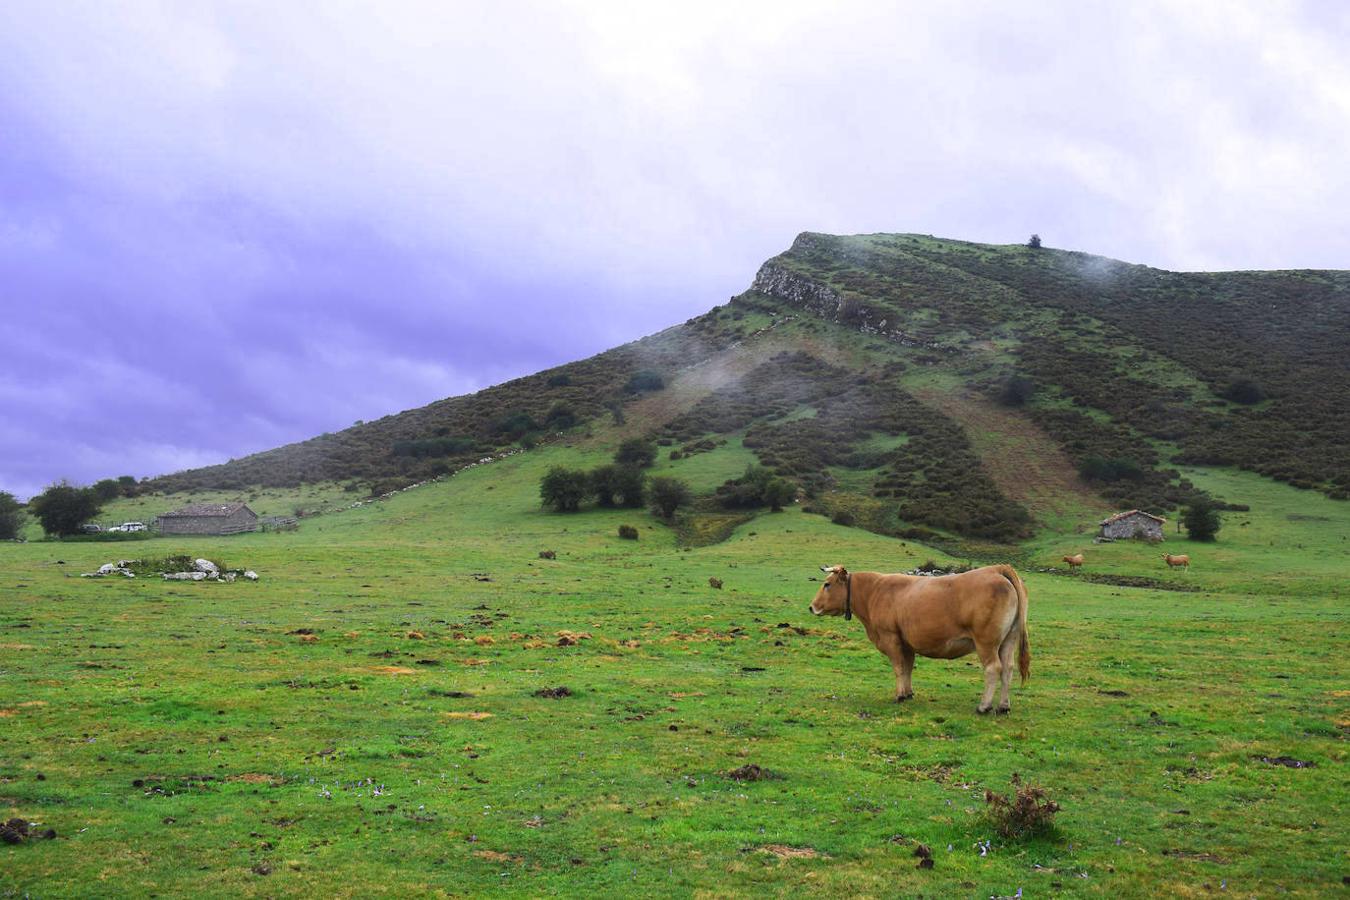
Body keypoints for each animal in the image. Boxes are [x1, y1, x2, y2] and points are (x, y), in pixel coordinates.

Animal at [804, 566, 1026, 712]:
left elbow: (898, 668)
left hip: (986, 642)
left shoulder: (890, 638)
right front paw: (908, 693)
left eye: (827, 584)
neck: (873, 591)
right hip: (1009, 639)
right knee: (1008, 668)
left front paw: (899, 695)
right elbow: (908, 667)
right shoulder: (907, 643)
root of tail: (995, 569)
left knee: (993, 668)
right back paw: (1003, 706)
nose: (811, 607)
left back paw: (984, 706)